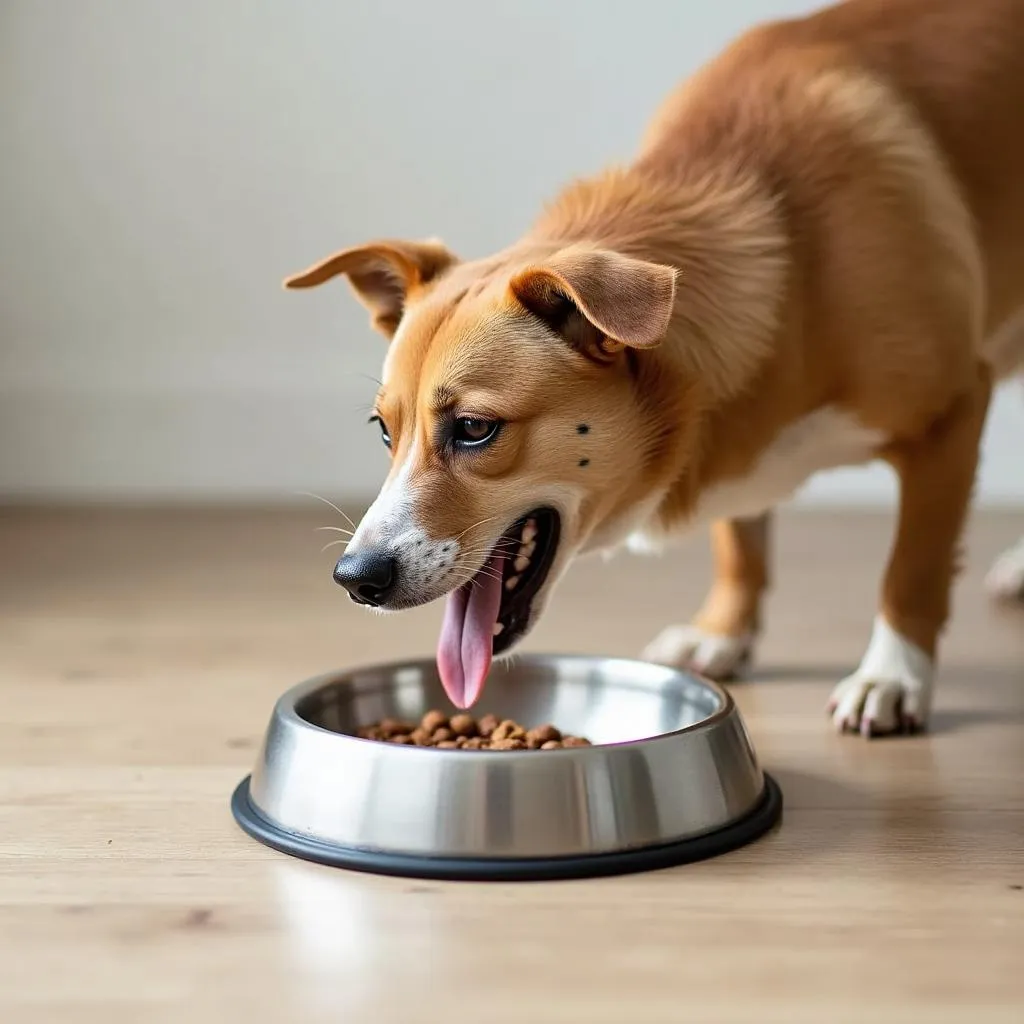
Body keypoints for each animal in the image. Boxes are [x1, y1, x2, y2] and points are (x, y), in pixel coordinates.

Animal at [284, 0, 1024, 737]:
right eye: (384, 431)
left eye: (473, 428)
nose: (355, 578)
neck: (793, 258)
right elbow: (740, 540)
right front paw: (723, 632)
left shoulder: (952, 414)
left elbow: (911, 569)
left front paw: (892, 675)